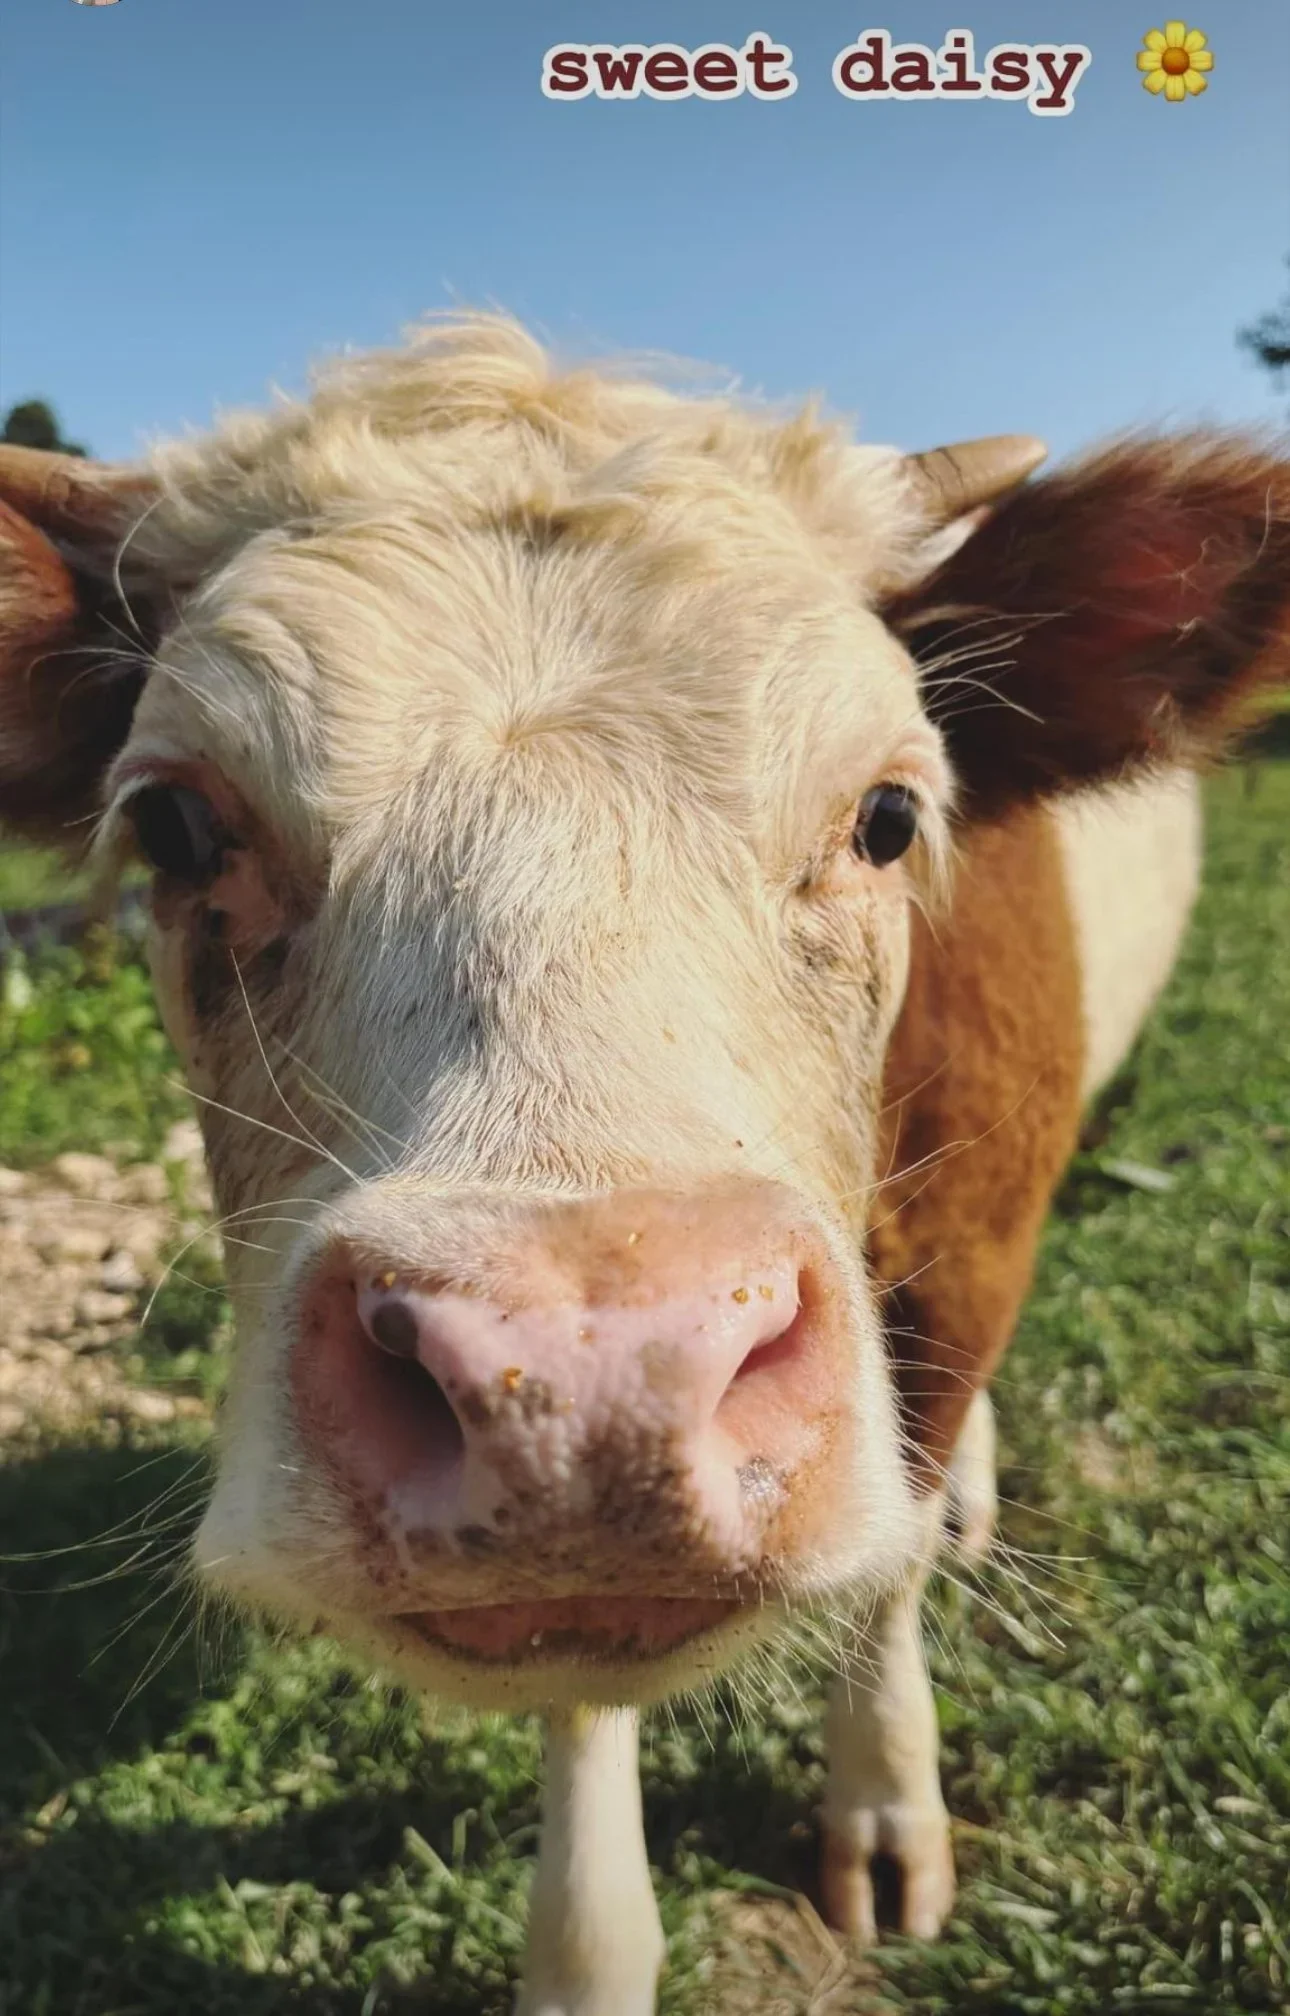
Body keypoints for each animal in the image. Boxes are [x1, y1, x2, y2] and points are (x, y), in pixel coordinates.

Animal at [0, 316, 1286, 2015]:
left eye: (887, 814)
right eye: (173, 827)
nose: (595, 1376)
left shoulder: (974, 1238)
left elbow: (887, 1560)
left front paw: (885, 1807)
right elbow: (578, 1686)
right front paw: (587, 1948)